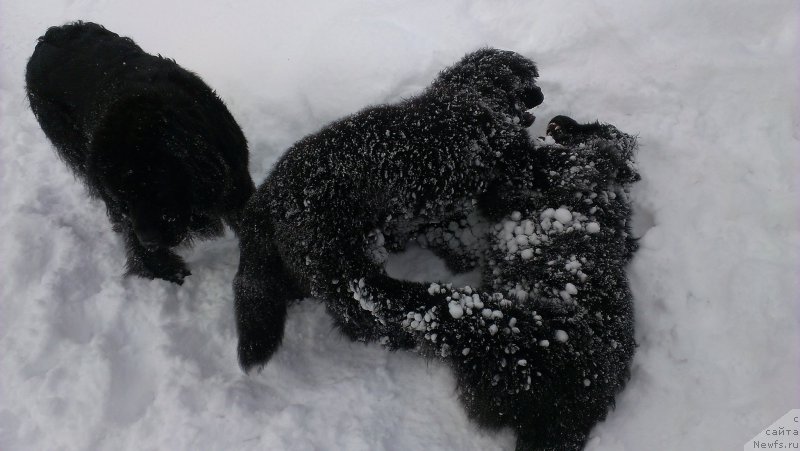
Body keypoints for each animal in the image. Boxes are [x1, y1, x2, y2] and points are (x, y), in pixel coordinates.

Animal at [25, 23, 253, 284]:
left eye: (157, 189)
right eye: (124, 197)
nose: (149, 241)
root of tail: (48, 36)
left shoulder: (235, 178)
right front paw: (164, 270)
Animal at [231, 50, 544, 370]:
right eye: (529, 82)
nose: (541, 94)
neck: (472, 95)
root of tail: (270, 191)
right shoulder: (511, 161)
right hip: (340, 263)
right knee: (358, 316)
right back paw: (399, 339)